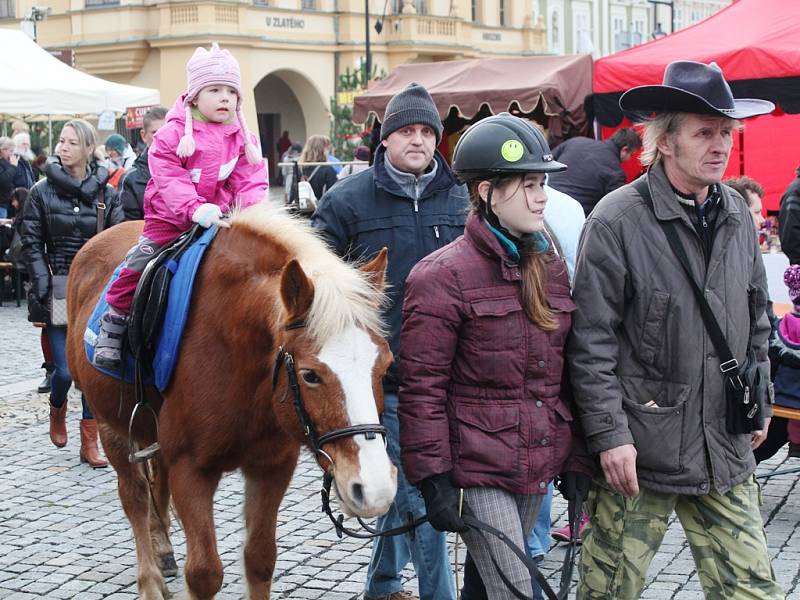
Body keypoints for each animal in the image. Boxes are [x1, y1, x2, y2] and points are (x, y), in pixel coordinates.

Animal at [65, 204, 396, 596]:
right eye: (310, 375)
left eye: (386, 366)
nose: (374, 488)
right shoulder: (191, 469)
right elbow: (204, 572)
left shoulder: (272, 467)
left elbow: (260, 559)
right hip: (110, 426)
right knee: (135, 499)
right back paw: (149, 581)